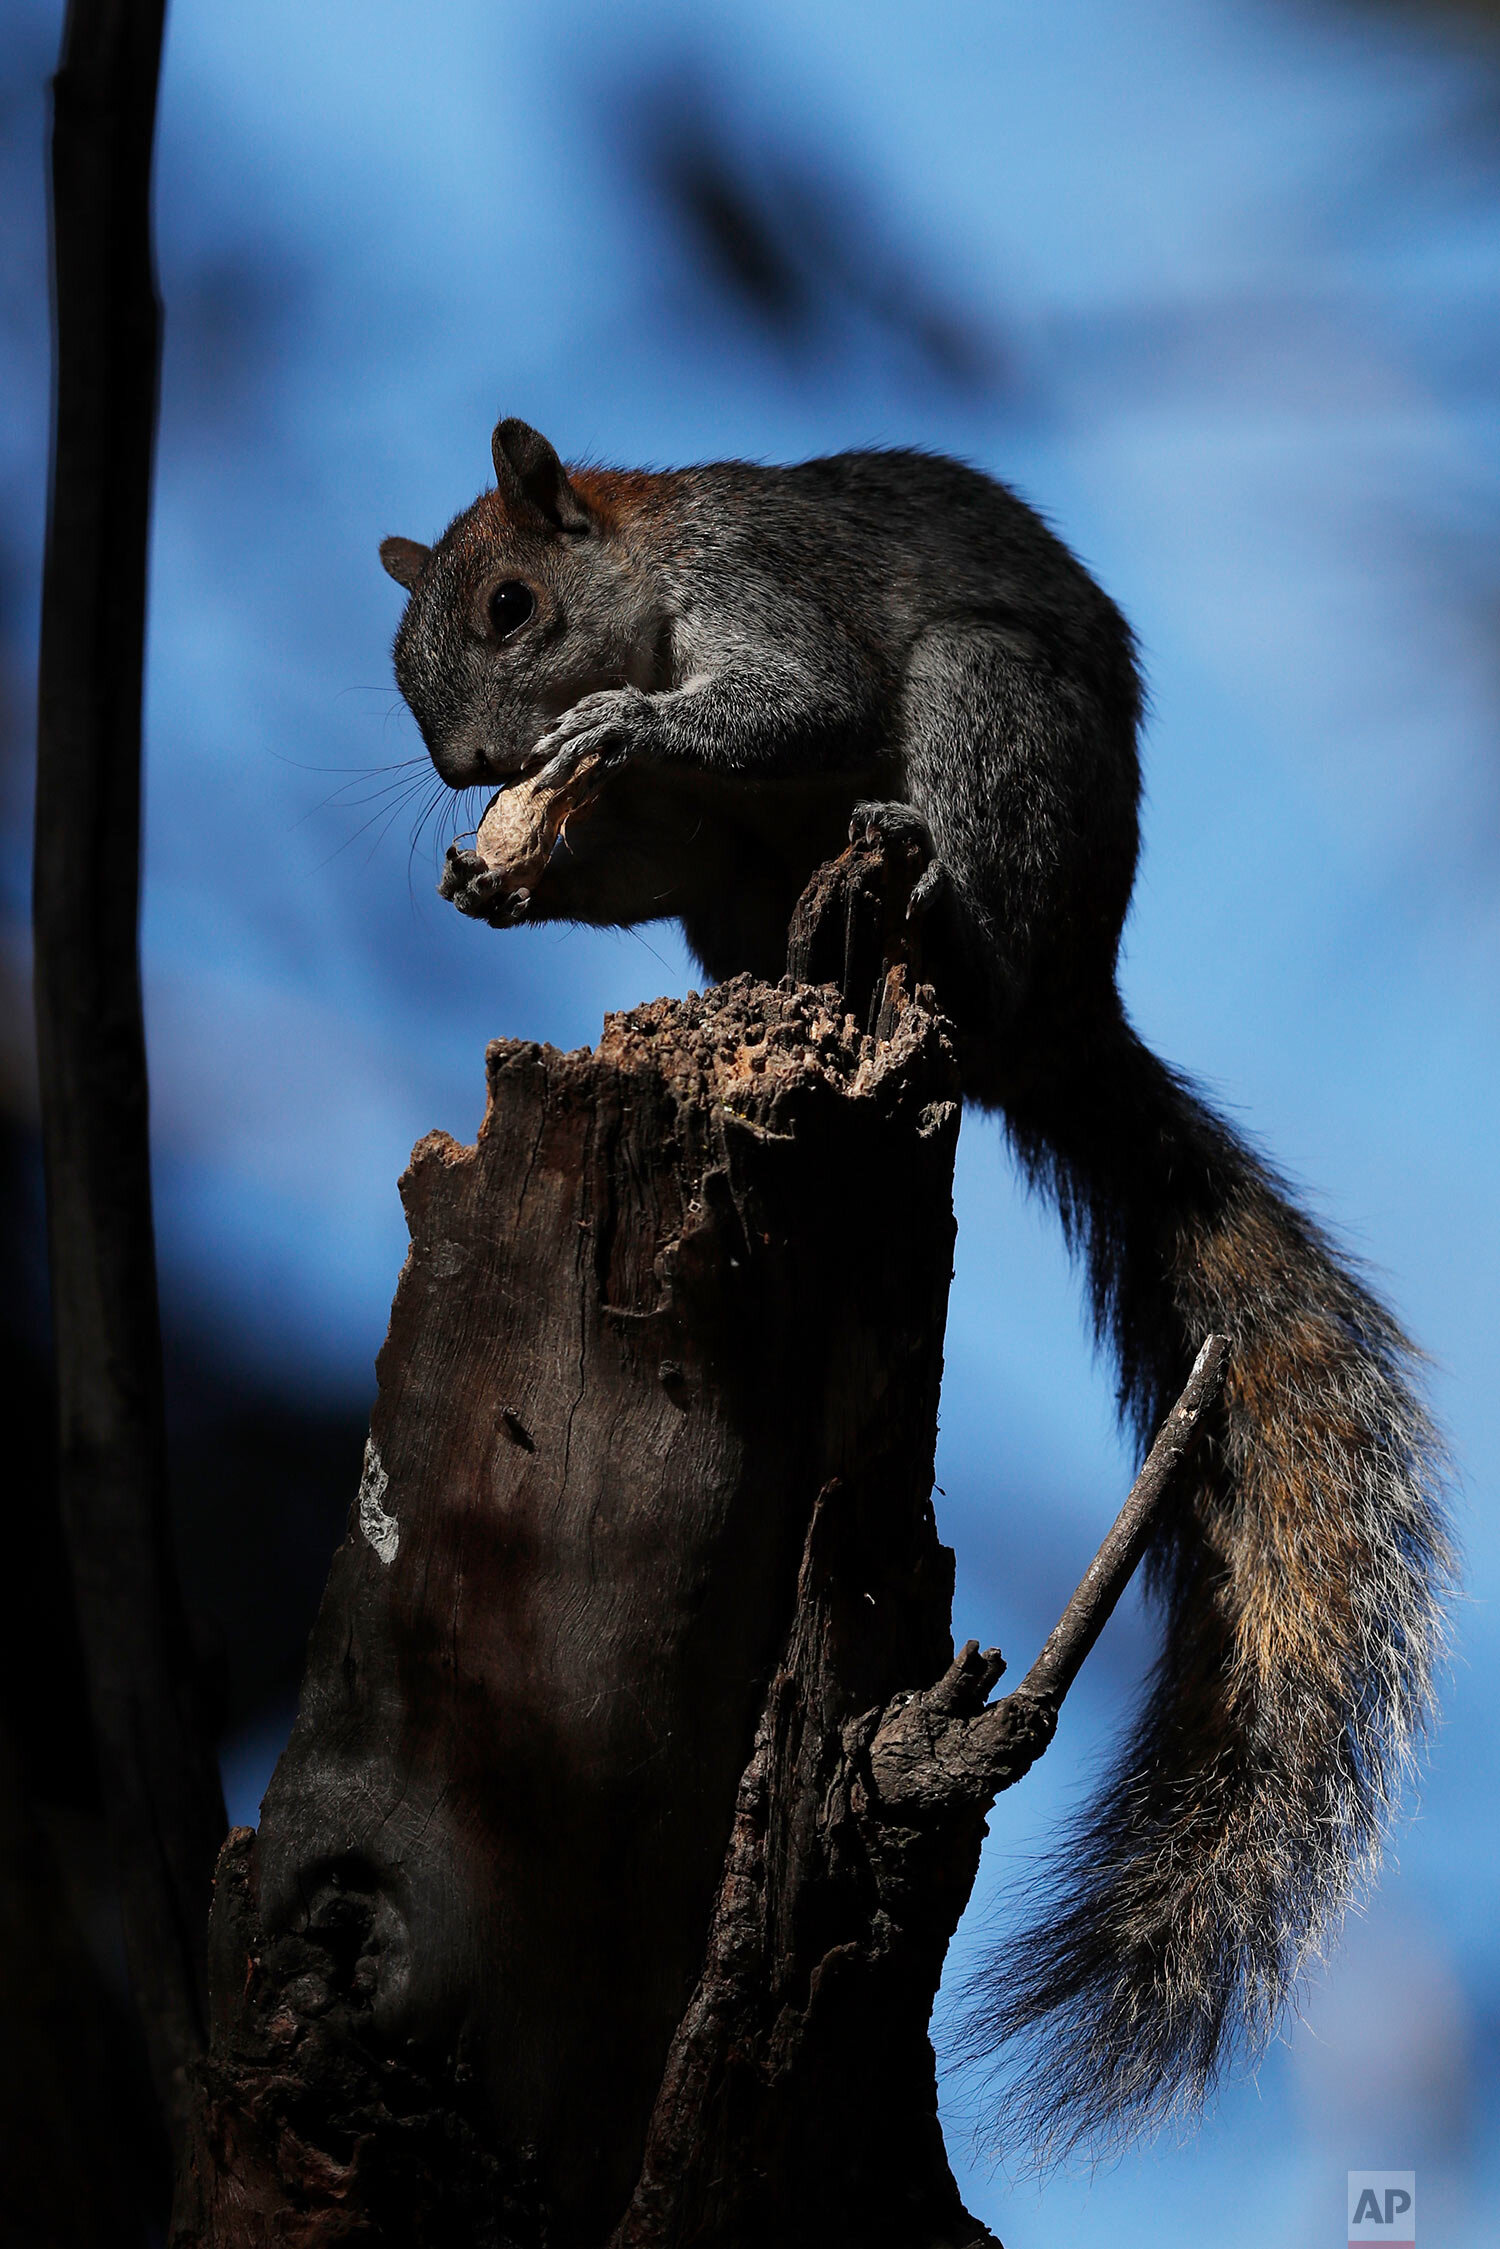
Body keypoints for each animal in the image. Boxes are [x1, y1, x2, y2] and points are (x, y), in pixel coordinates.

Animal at [375, 422, 1457, 2159]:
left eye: (512, 607)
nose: (475, 773)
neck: (651, 577)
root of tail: (1062, 1024)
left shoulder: (766, 591)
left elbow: (798, 699)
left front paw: (624, 723)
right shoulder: (680, 835)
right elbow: (640, 850)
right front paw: (502, 882)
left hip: (985, 721)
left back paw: (933, 894)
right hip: (751, 887)